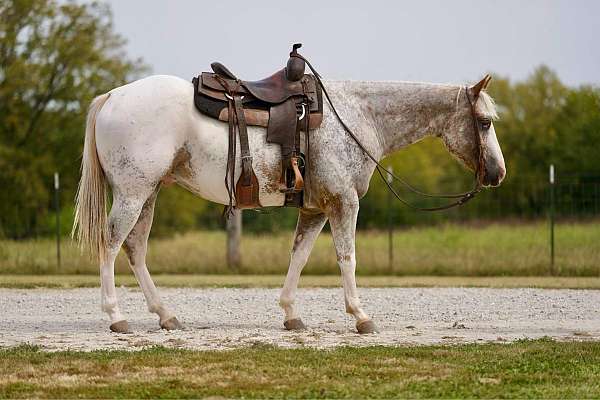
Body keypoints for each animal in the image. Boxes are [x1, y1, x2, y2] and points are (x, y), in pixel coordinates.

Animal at [74, 73, 506, 332]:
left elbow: (299, 257)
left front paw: (290, 314)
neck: (359, 116)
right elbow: (347, 258)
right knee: (111, 245)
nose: (498, 173)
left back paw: (166, 316)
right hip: (132, 194)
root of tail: (113, 96)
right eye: (484, 123)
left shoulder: (315, 209)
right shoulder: (344, 203)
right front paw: (361, 316)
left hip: (148, 194)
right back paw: (116, 317)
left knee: (135, 249)